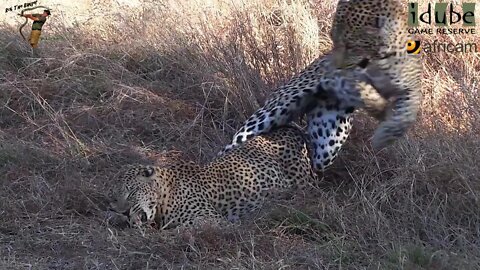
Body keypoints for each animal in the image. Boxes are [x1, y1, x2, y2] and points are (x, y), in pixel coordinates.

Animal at [109, 125, 318, 229]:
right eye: (115, 197)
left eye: (132, 192)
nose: (123, 212)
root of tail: (291, 127)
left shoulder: (210, 219)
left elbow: (186, 227)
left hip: (303, 184)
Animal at [219, 0, 422, 171]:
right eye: (333, 39)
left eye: (350, 45)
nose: (334, 64)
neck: (379, 59)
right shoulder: (343, 76)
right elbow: (362, 87)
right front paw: (379, 108)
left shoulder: (411, 86)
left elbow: (407, 114)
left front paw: (386, 134)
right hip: (271, 111)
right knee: (231, 146)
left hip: (329, 139)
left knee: (311, 151)